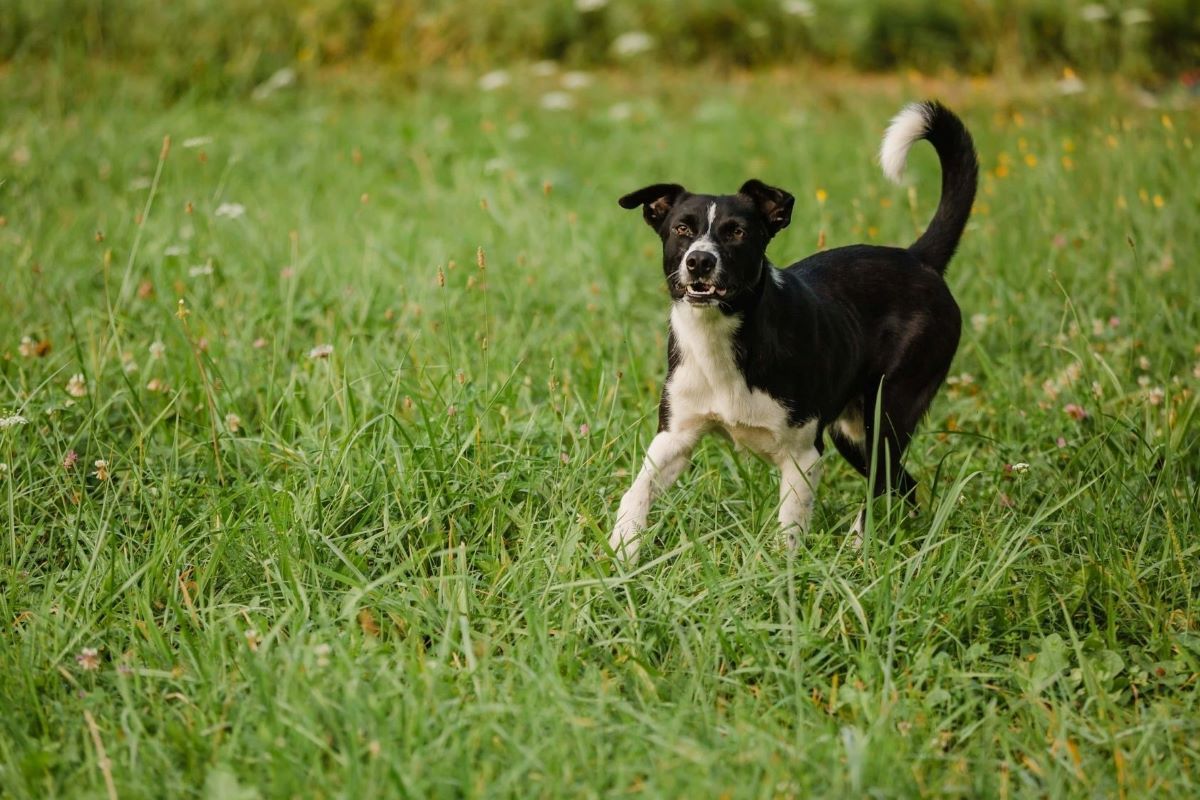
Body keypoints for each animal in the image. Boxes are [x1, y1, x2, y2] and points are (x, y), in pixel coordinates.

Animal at [614, 101, 979, 563]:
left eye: (737, 231)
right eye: (681, 228)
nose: (699, 261)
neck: (722, 342)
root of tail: (919, 259)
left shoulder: (804, 456)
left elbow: (788, 529)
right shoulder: (675, 438)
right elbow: (636, 492)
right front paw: (622, 550)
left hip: (889, 409)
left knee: (882, 484)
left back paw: (859, 551)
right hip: (852, 432)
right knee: (903, 485)